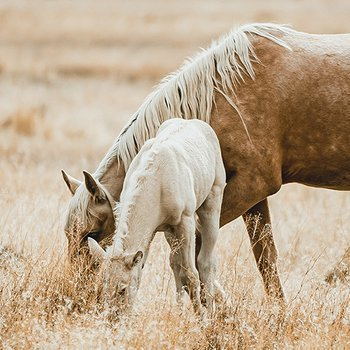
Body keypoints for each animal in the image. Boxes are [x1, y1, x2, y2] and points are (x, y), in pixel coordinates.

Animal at [86, 119, 226, 314]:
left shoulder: (186, 222)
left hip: (213, 200)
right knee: (175, 264)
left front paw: (201, 318)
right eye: (102, 287)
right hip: (170, 232)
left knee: (206, 261)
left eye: (122, 289)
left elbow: (190, 274)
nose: (114, 317)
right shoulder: (152, 231)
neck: (157, 179)